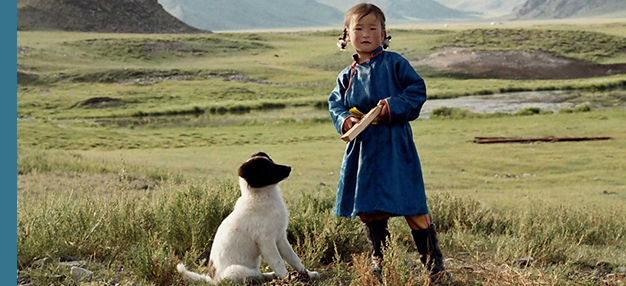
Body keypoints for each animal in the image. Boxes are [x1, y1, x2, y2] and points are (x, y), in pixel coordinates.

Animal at [177, 152, 320, 284]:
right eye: (266, 168)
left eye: (272, 161)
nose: (289, 168)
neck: (262, 196)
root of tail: (214, 280)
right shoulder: (266, 241)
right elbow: (279, 262)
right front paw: (288, 279)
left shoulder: (280, 237)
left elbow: (294, 258)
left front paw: (307, 274)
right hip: (238, 270)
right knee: (257, 276)